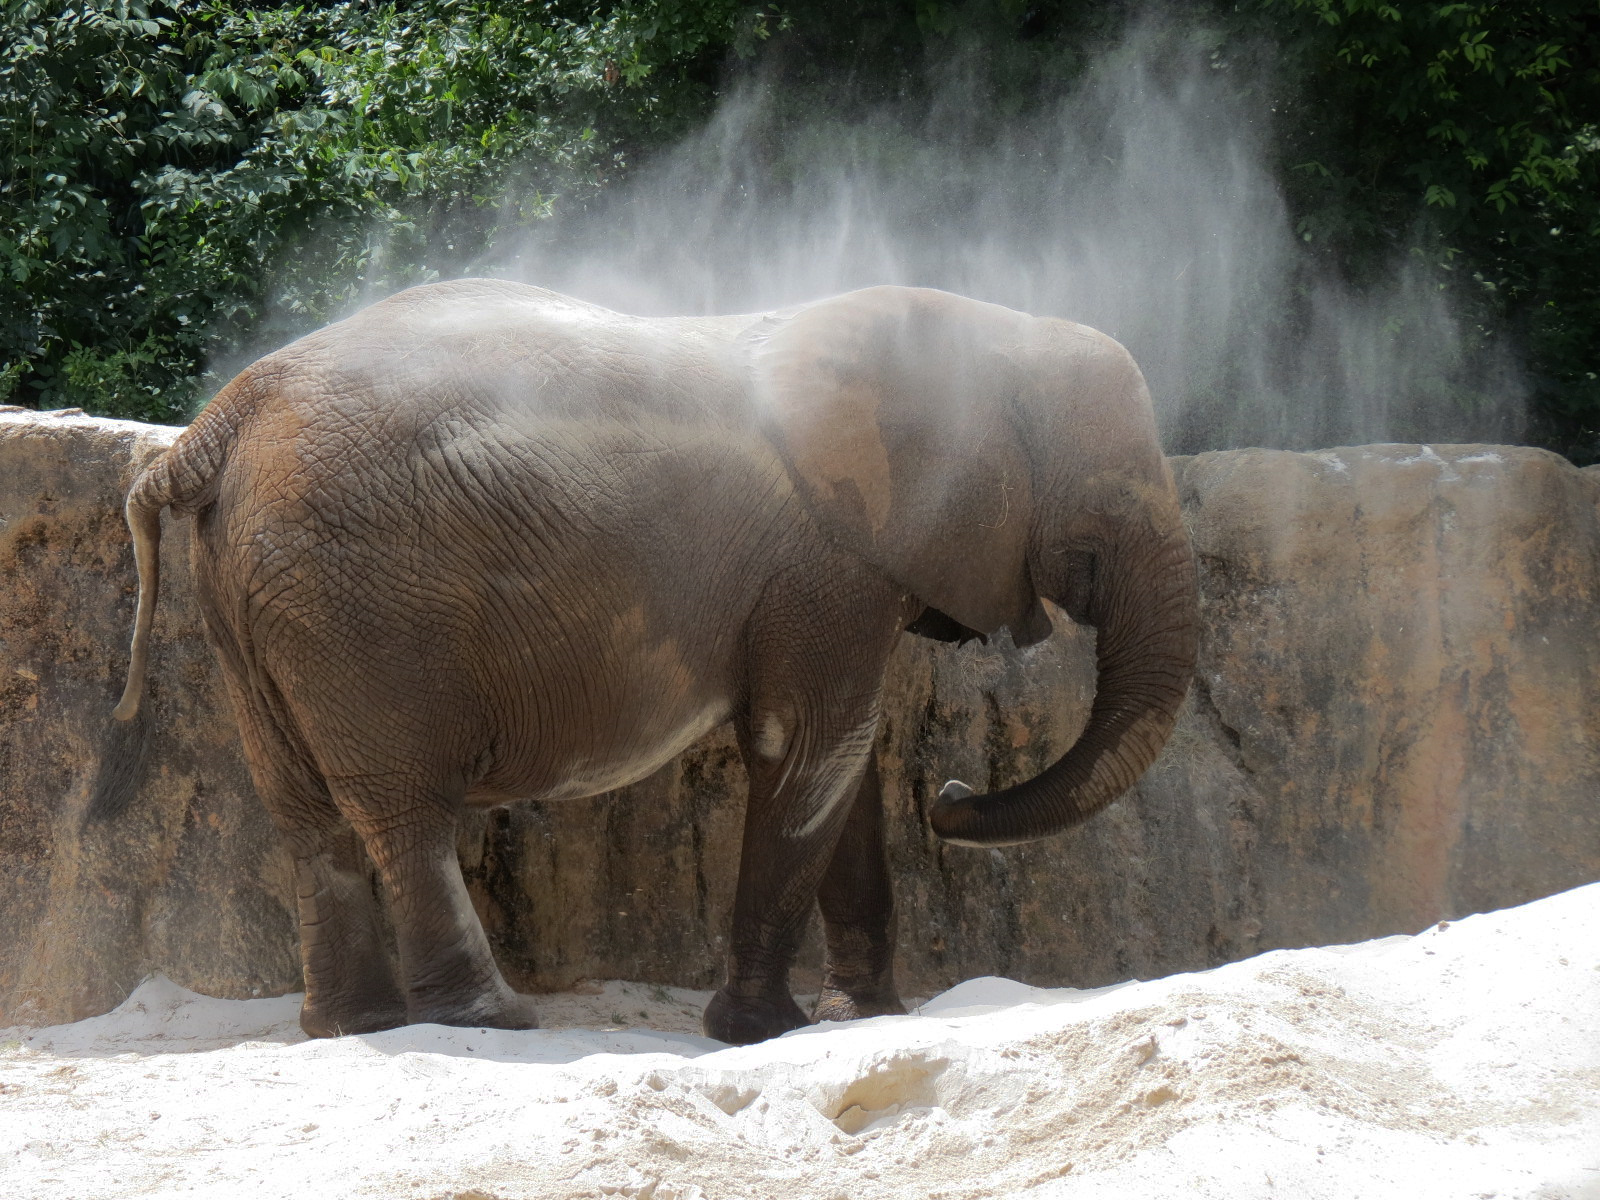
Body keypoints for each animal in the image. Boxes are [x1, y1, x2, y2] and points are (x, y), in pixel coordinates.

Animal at [104, 279, 1198, 1045]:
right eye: (1104, 501)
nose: (955, 795)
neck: (984, 323)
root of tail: (218, 423)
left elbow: (842, 765)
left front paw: (862, 1020)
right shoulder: (823, 563)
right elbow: (811, 752)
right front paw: (761, 1033)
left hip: (256, 595)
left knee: (305, 811)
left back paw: (352, 1026)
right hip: (355, 602)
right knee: (400, 810)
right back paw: (490, 1020)